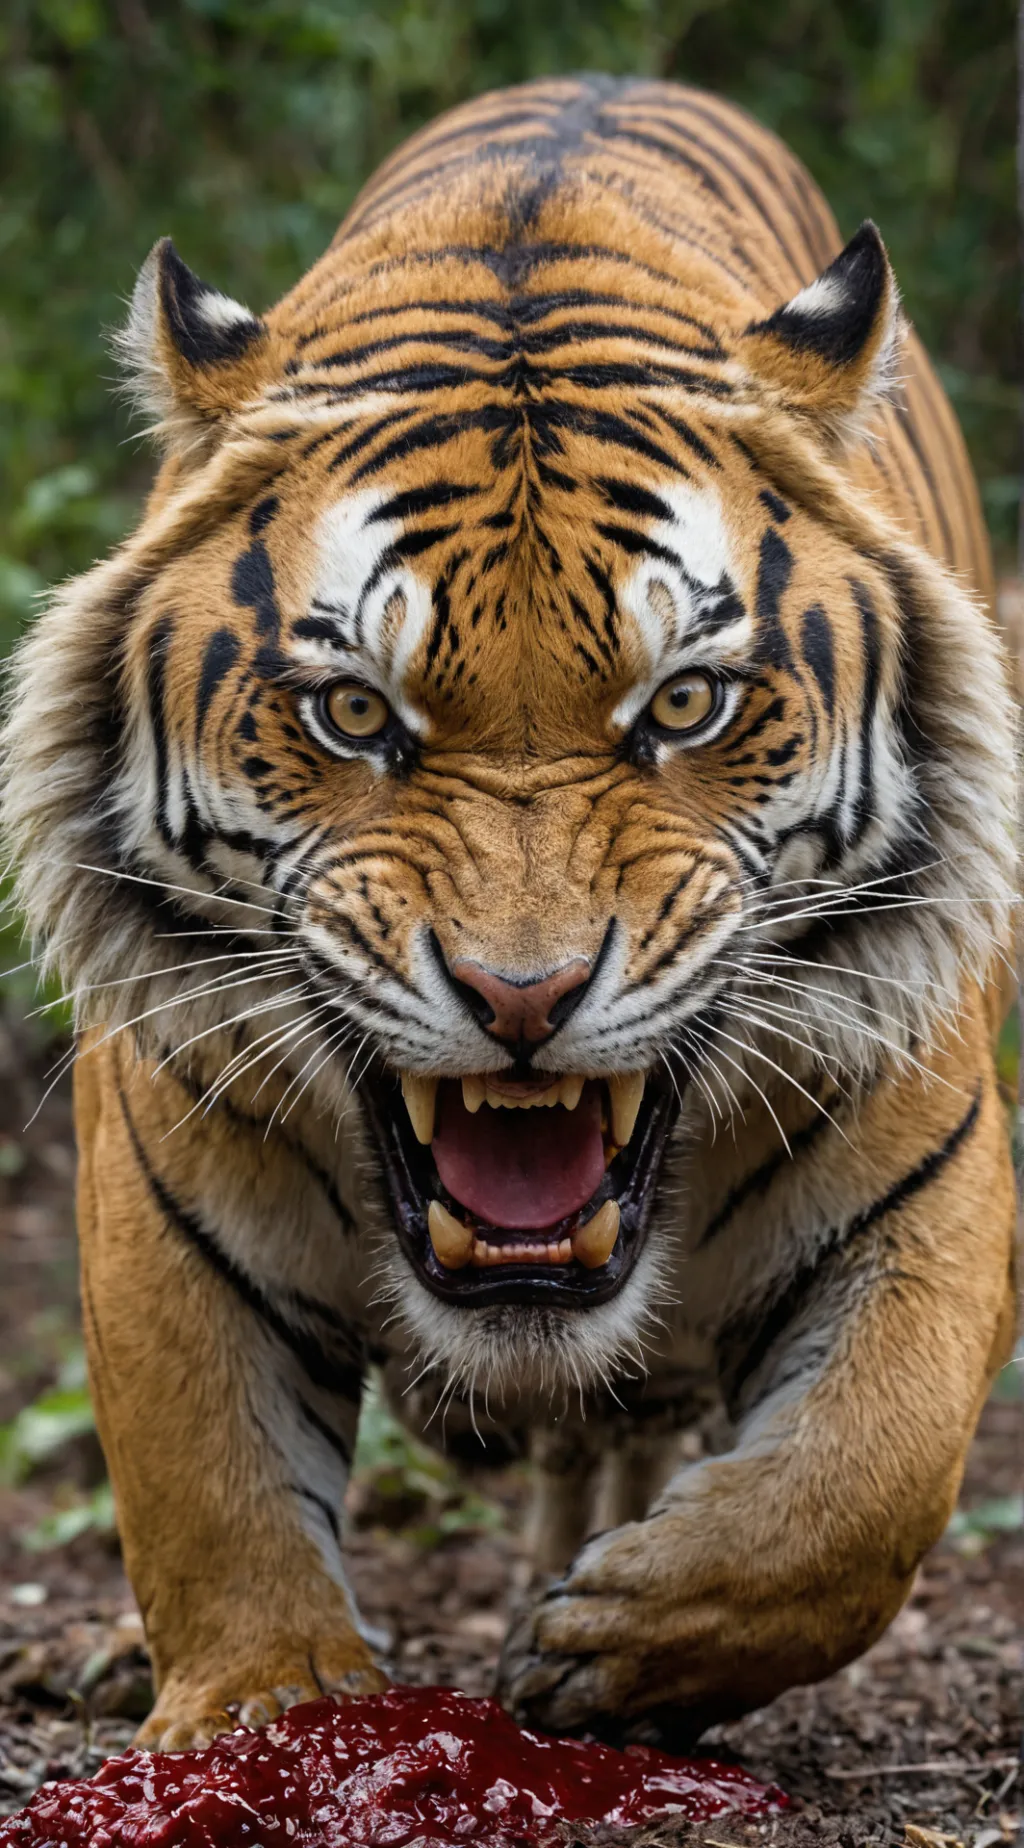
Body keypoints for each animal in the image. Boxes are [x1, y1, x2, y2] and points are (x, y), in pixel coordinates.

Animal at [2, 74, 1016, 1754]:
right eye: (354, 711)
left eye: (684, 704)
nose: (523, 998)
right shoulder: (163, 1190)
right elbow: (208, 1483)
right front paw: (271, 1711)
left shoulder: (924, 1159)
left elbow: (864, 1483)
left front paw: (622, 1642)